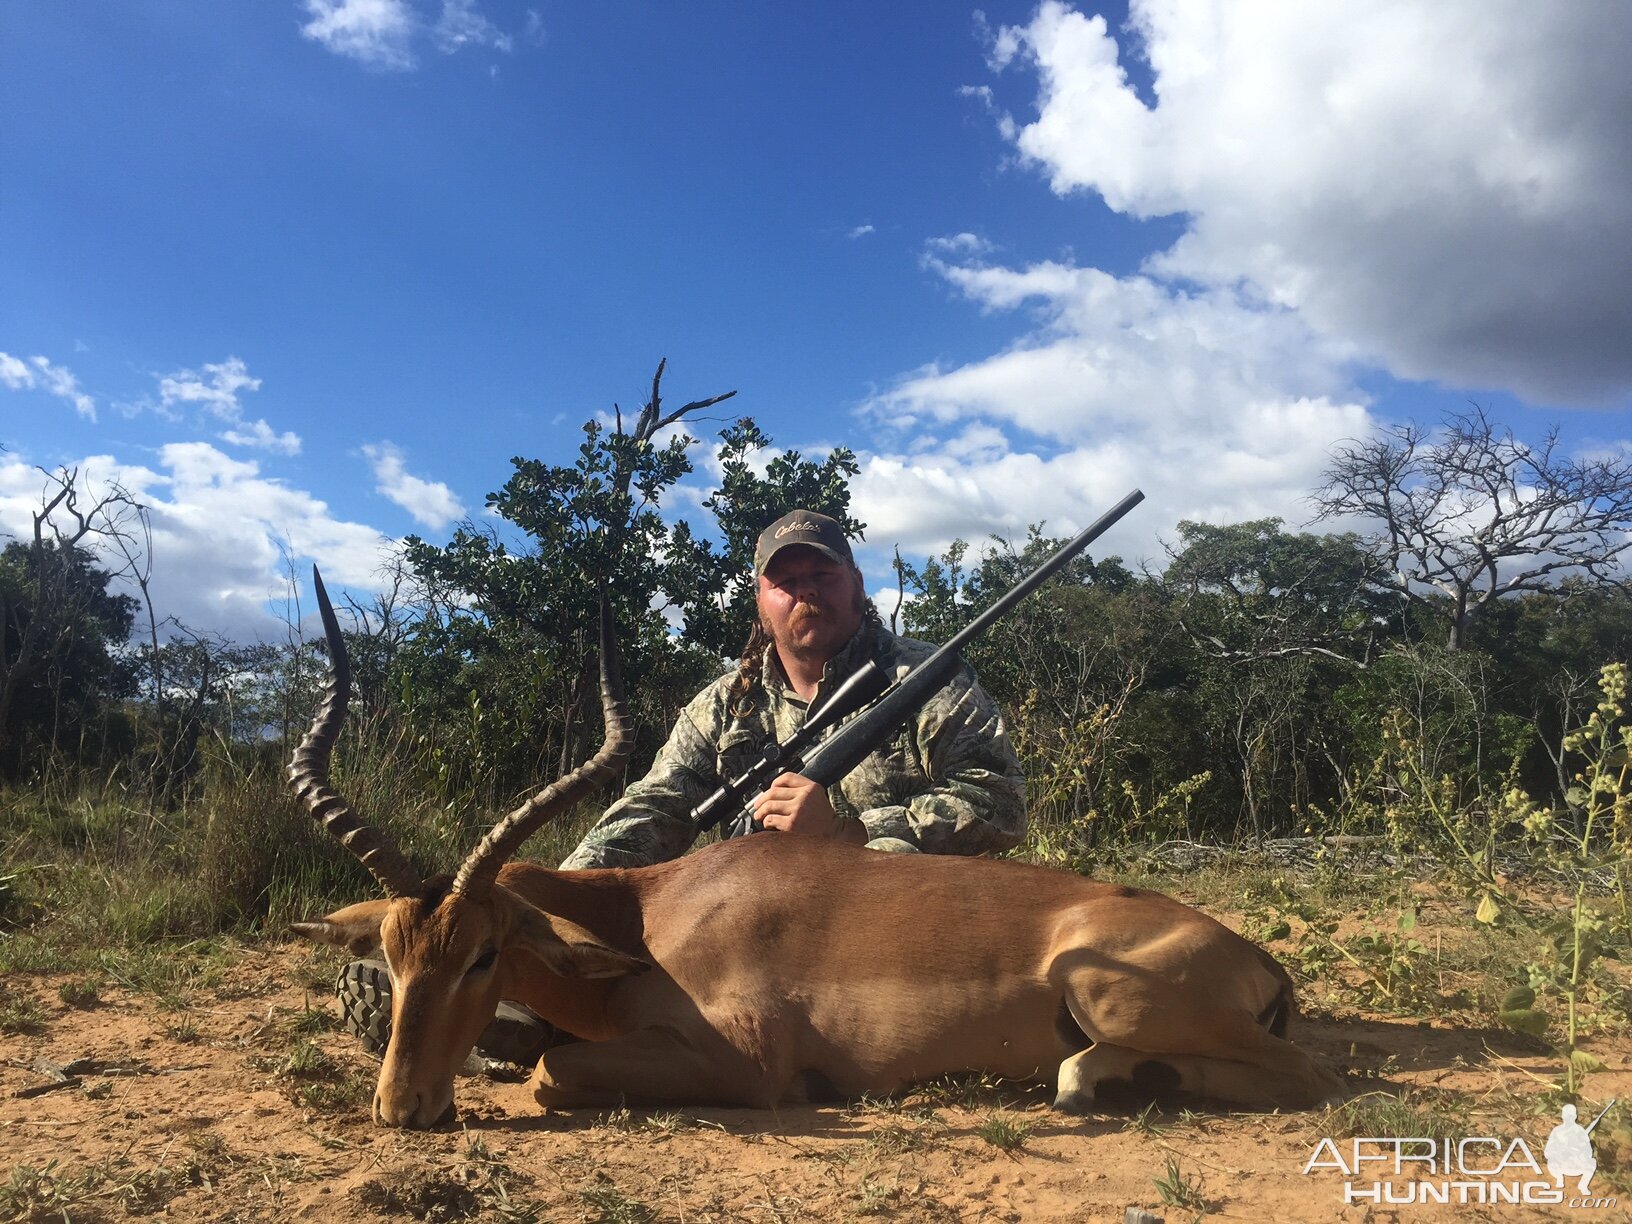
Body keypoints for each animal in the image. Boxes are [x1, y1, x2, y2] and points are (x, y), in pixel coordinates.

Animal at [287, 574, 1344, 1129]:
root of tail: (1258, 958)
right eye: (392, 957)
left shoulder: (744, 1063)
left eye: (483, 954)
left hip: (1103, 987)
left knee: (1300, 1079)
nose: (402, 1108)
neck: (650, 918)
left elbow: (551, 1069)